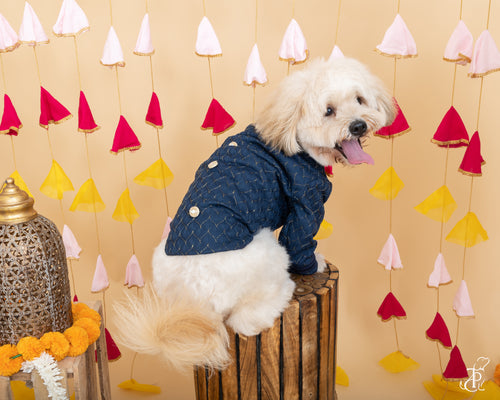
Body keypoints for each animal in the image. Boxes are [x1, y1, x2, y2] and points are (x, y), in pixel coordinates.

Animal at [115, 57, 396, 370]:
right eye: (328, 111)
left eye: (360, 100)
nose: (358, 125)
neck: (292, 135)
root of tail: (194, 302)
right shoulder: (306, 202)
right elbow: (301, 242)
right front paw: (315, 264)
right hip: (265, 251)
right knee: (246, 320)